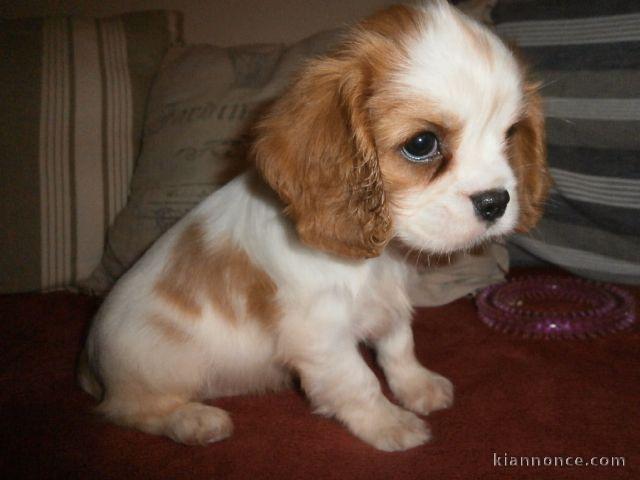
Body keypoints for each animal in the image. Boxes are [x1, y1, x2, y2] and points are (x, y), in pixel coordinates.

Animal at [79, 0, 552, 452]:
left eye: (510, 135)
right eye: (422, 144)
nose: (496, 201)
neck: (377, 258)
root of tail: (90, 360)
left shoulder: (389, 305)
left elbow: (398, 347)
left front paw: (417, 387)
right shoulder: (320, 335)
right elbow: (358, 381)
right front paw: (389, 423)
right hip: (151, 375)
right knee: (131, 411)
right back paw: (194, 421)